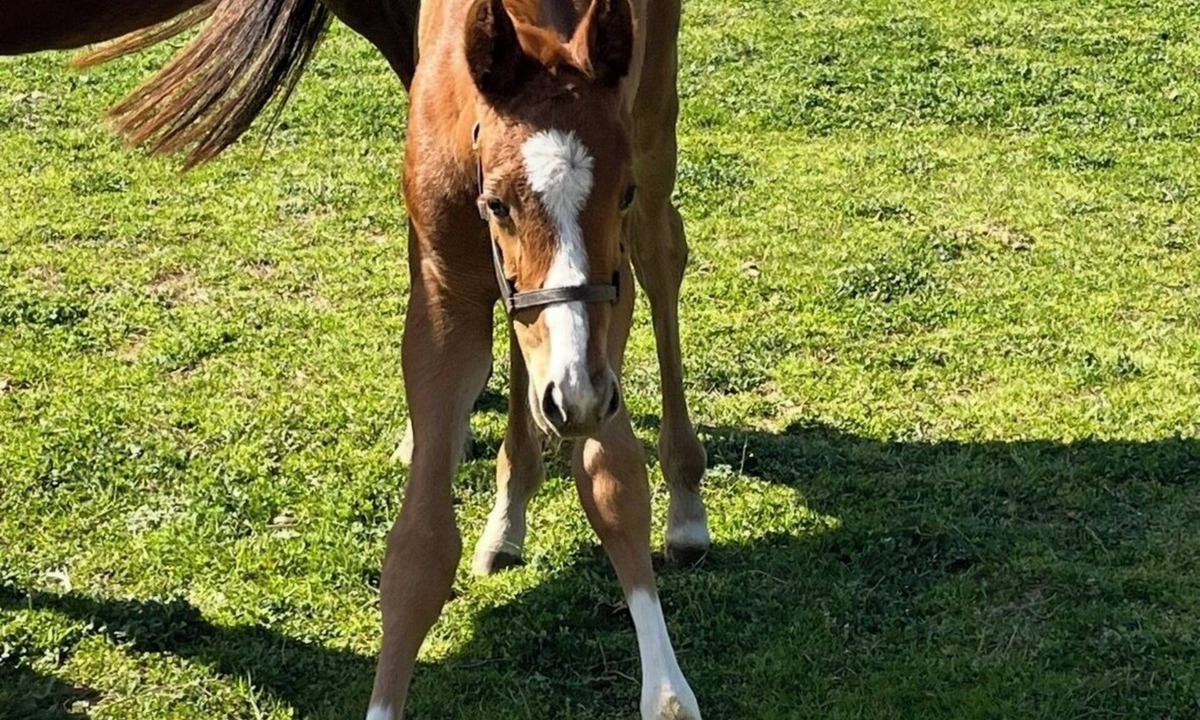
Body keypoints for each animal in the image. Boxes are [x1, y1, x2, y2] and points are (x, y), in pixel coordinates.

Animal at [4, 1, 711, 717]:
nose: (575, 396)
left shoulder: (607, 292)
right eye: (497, 203)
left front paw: (668, 692)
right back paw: (508, 513)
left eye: (619, 195)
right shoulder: (446, 294)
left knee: (662, 250)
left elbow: (612, 479)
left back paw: (684, 503)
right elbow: (419, 548)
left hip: (653, 118)